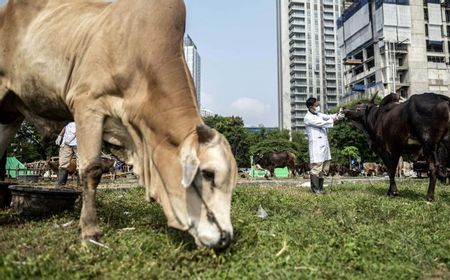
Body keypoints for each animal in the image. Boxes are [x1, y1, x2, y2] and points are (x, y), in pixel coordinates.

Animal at [0, 0, 237, 249]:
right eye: (208, 173)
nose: (225, 237)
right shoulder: (87, 105)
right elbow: (91, 170)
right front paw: (90, 231)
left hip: (12, 111)